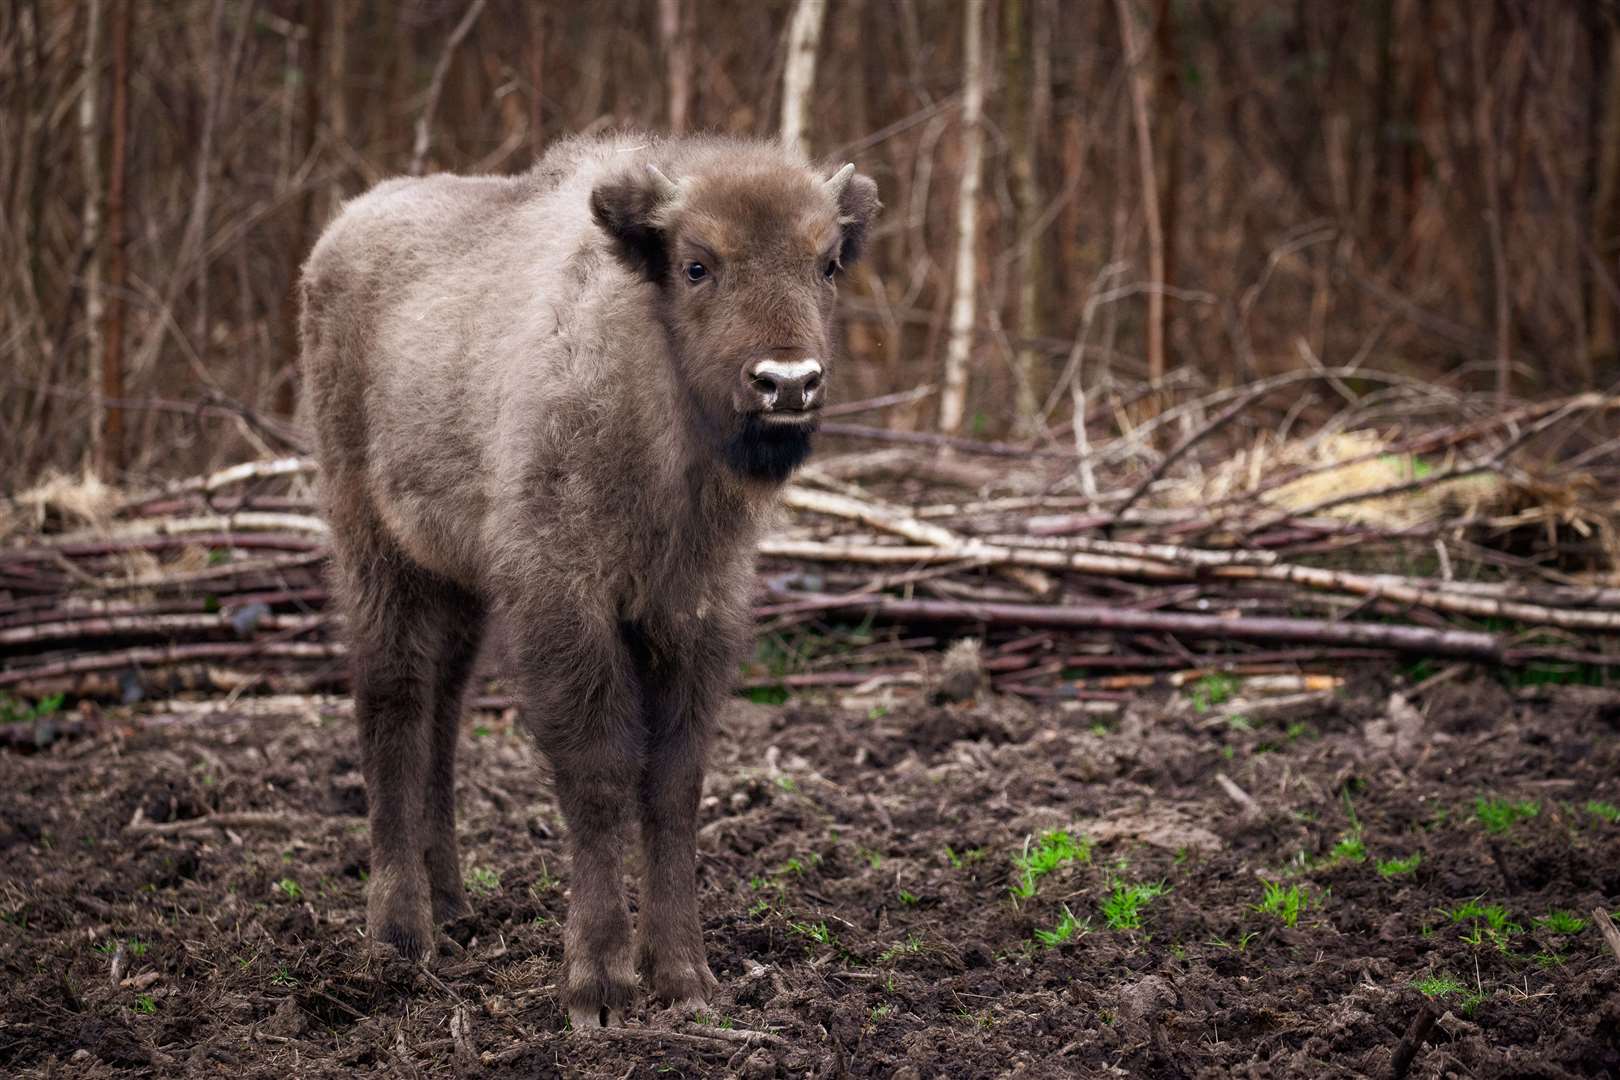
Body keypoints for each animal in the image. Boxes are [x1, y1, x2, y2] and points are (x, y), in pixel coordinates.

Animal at [304, 131, 887, 1029]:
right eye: (696, 263)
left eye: (826, 262)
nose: (787, 382)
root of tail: (341, 232)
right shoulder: (565, 604)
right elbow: (601, 775)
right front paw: (600, 988)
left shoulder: (692, 615)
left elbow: (674, 784)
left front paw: (685, 979)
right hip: (374, 548)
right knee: (392, 706)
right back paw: (401, 935)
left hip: (458, 581)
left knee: (444, 709)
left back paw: (454, 906)